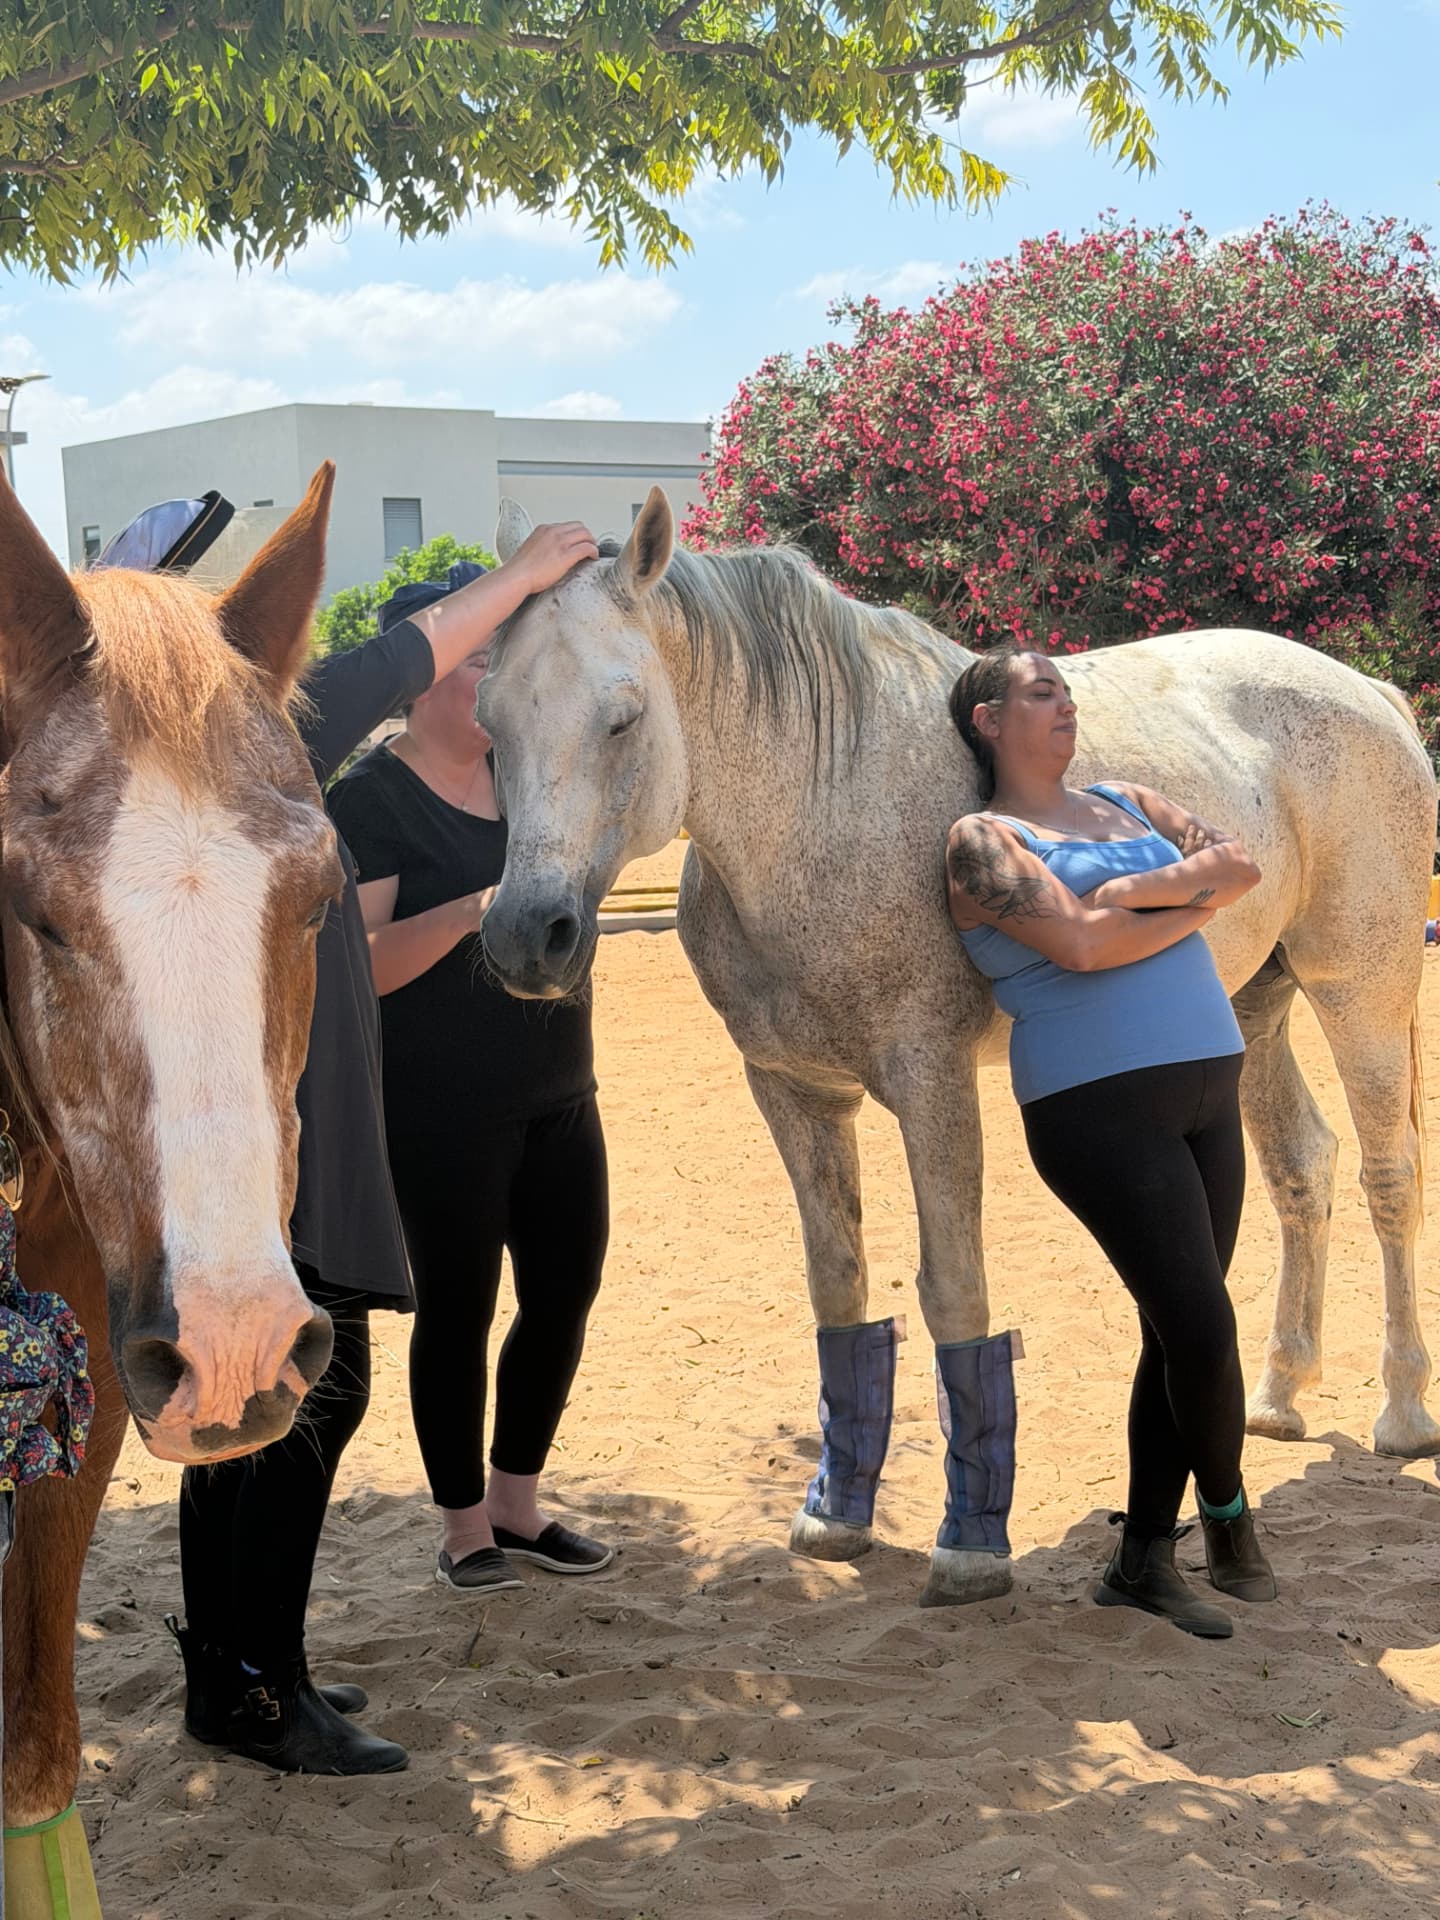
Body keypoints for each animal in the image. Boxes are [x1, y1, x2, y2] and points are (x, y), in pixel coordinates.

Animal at [477, 486, 1436, 1610]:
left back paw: (1404, 1412)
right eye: (489, 723)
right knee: (1300, 1167)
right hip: (1256, 1007)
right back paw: (1281, 1394)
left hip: (1360, 989)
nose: (525, 936)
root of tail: (1370, 693)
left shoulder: (931, 1086)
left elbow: (953, 1291)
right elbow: (839, 1288)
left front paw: (971, 1543)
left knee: (1386, 1176)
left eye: (622, 716)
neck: (819, 810)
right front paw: (836, 1513)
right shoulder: (794, 1094)